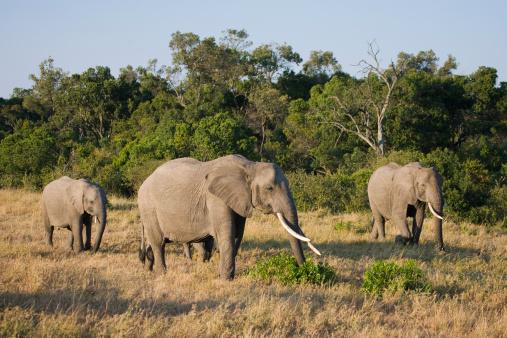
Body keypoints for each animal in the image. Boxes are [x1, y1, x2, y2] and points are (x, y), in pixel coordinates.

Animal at [138, 154, 322, 278]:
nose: (304, 269)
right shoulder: (216, 199)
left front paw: (225, 276)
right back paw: (161, 274)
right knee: (158, 243)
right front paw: (226, 279)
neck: (250, 166)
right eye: (269, 188)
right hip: (148, 208)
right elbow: (227, 234)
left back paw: (148, 270)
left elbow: (237, 235)